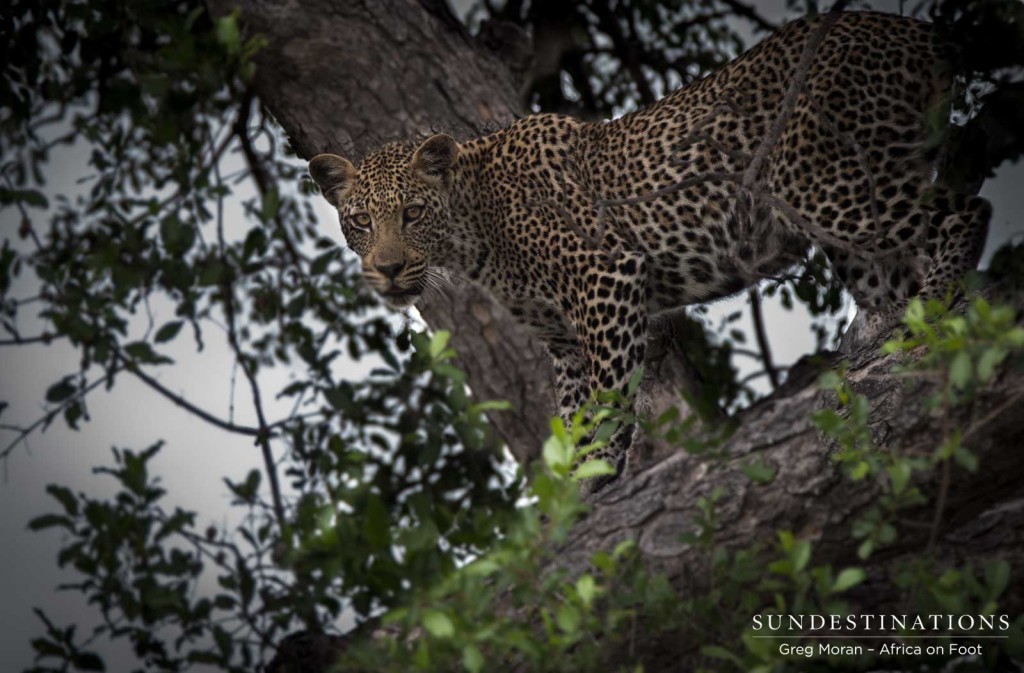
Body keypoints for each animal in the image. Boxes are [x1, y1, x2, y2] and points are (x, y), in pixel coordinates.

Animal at [305, 11, 991, 493]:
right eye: (361, 221)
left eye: (413, 214)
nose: (388, 268)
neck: (473, 230)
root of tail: (914, 29)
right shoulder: (562, 343)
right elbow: (572, 418)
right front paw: (570, 501)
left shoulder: (606, 277)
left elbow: (610, 403)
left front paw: (602, 480)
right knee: (892, 278)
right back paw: (889, 337)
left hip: (822, 184)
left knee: (966, 211)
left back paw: (937, 314)